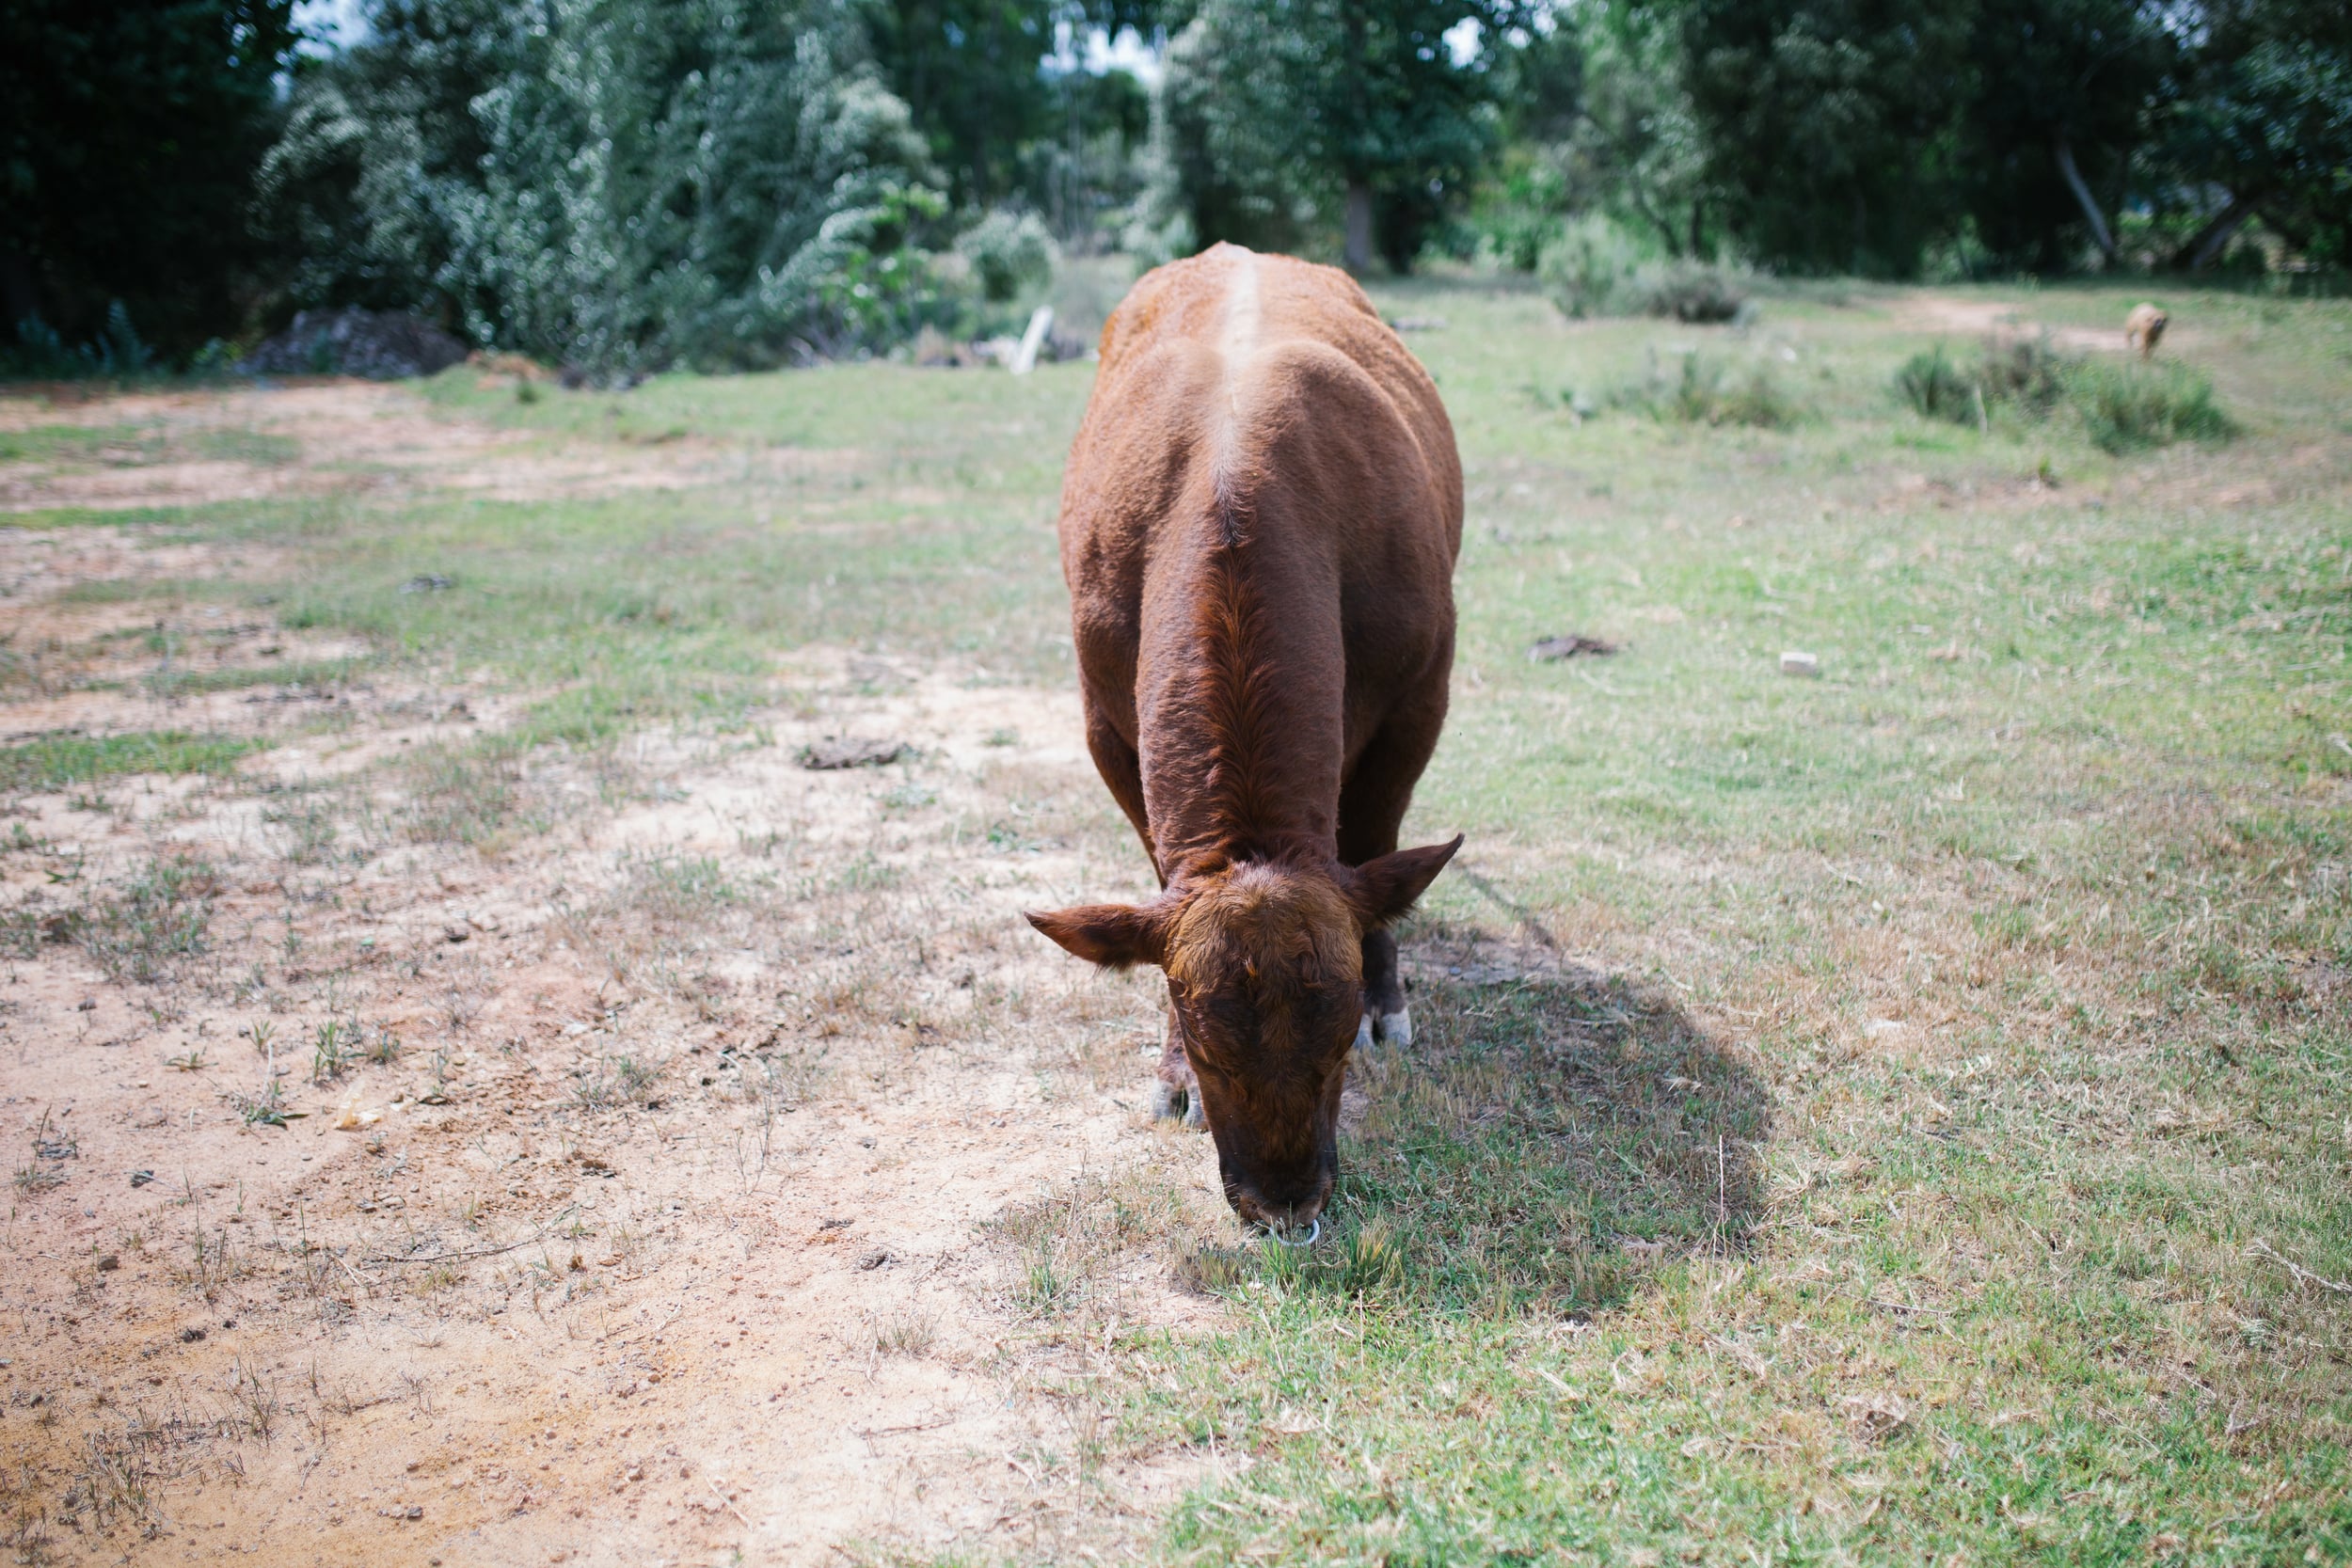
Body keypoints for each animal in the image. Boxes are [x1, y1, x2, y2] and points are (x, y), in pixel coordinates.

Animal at [1035, 245, 1468, 1241]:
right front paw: (1168, 1077)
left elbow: (1378, 844)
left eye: (1340, 1041)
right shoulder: (1103, 720)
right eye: (1204, 1043)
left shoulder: (1422, 693)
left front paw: (1389, 997)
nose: (1284, 1203)